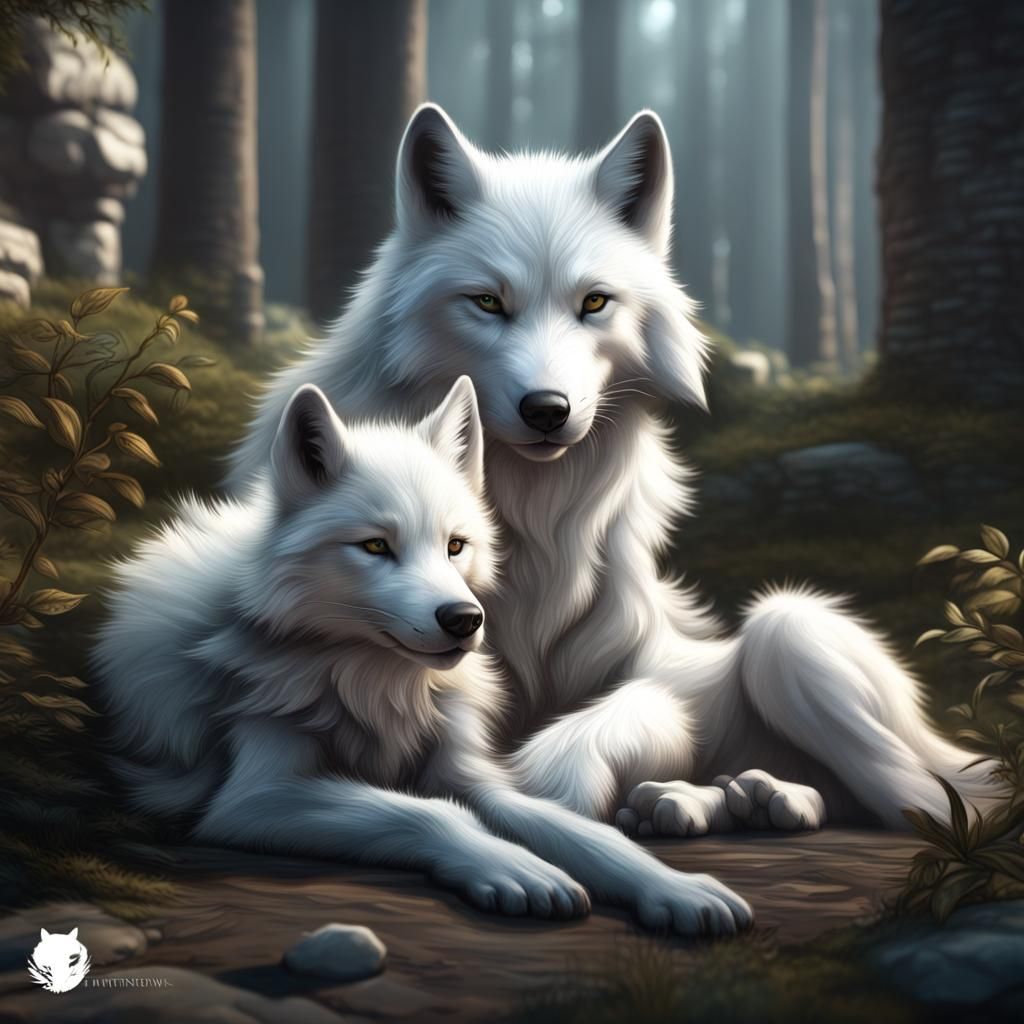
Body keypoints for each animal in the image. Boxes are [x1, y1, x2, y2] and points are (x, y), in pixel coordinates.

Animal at [95, 378, 752, 936]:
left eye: (455, 545)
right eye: (375, 547)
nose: (464, 620)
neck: (373, 684)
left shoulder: (472, 774)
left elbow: (583, 833)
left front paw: (675, 888)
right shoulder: (255, 797)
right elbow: (428, 814)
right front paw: (518, 868)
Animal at [228, 105, 999, 870]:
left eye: (594, 302)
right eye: (488, 302)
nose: (547, 409)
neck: (532, 533)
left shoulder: (661, 666)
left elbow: (601, 724)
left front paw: (551, 797)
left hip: (788, 632)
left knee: (911, 797)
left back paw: (742, 798)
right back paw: (707, 801)